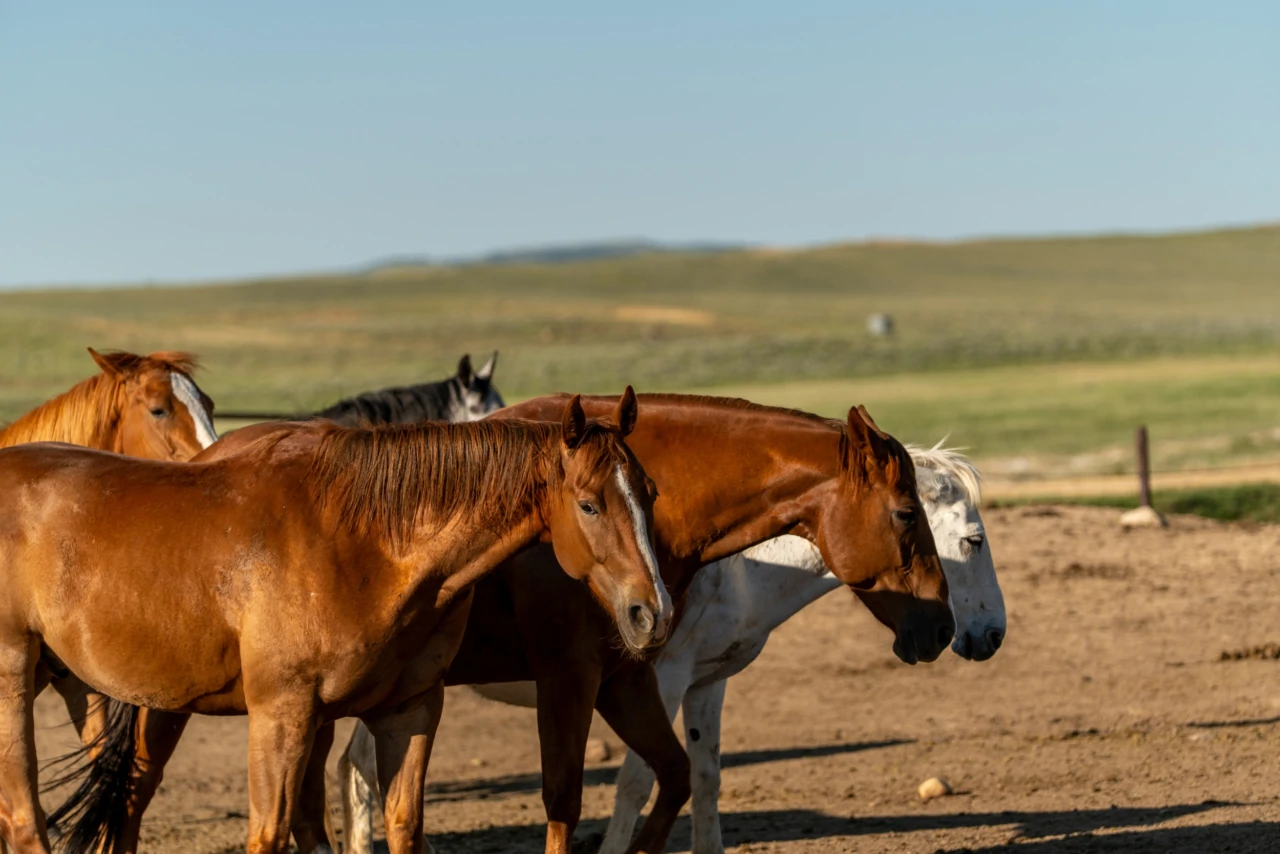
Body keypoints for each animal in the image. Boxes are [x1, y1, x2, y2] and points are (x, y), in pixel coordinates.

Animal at [0, 391, 667, 854]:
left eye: (651, 493)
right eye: (589, 504)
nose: (652, 613)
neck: (365, 544)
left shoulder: (409, 711)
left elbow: (402, 826)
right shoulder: (283, 714)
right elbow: (269, 834)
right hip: (16, 678)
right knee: (25, 819)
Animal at [329, 393, 957, 854]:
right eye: (907, 513)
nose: (945, 628)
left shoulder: (626, 678)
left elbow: (675, 774)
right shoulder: (570, 679)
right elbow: (567, 800)